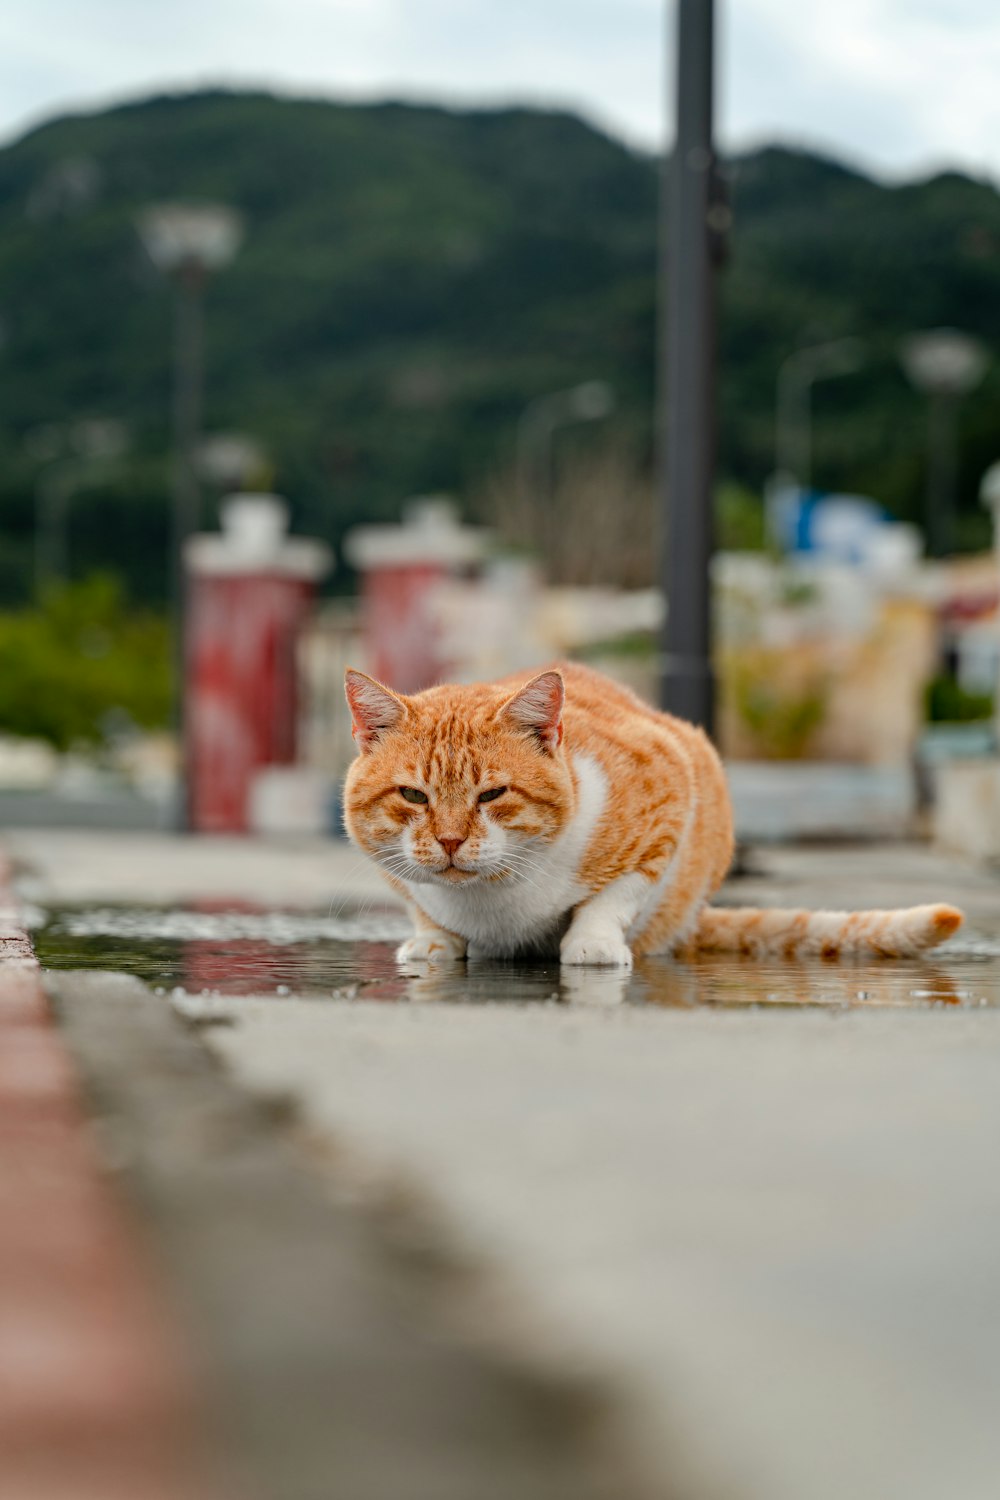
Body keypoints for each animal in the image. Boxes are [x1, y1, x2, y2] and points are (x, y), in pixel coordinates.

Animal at [341, 663, 959, 966]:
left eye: (492, 795)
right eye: (413, 796)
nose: (448, 841)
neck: (492, 899)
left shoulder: (673, 784)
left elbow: (616, 893)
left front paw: (591, 944)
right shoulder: (394, 875)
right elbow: (421, 905)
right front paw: (434, 940)